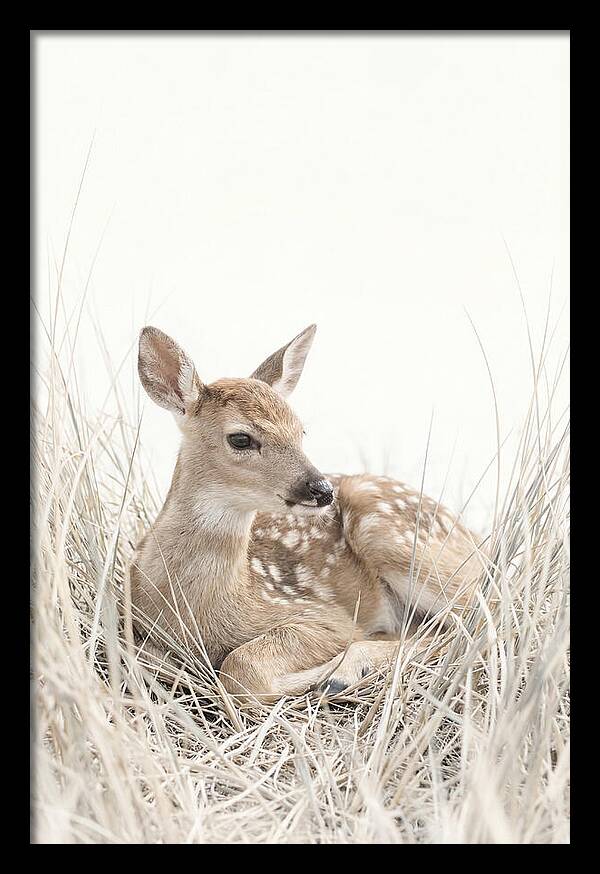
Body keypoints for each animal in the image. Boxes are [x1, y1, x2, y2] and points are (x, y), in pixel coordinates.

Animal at [130, 324, 485, 702]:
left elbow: (242, 669)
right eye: (241, 439)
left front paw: (320, 675)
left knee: (478, 618)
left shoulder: (323, 615)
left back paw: (344, 673)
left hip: (390, 534)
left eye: (300, 431)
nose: (322, 489)